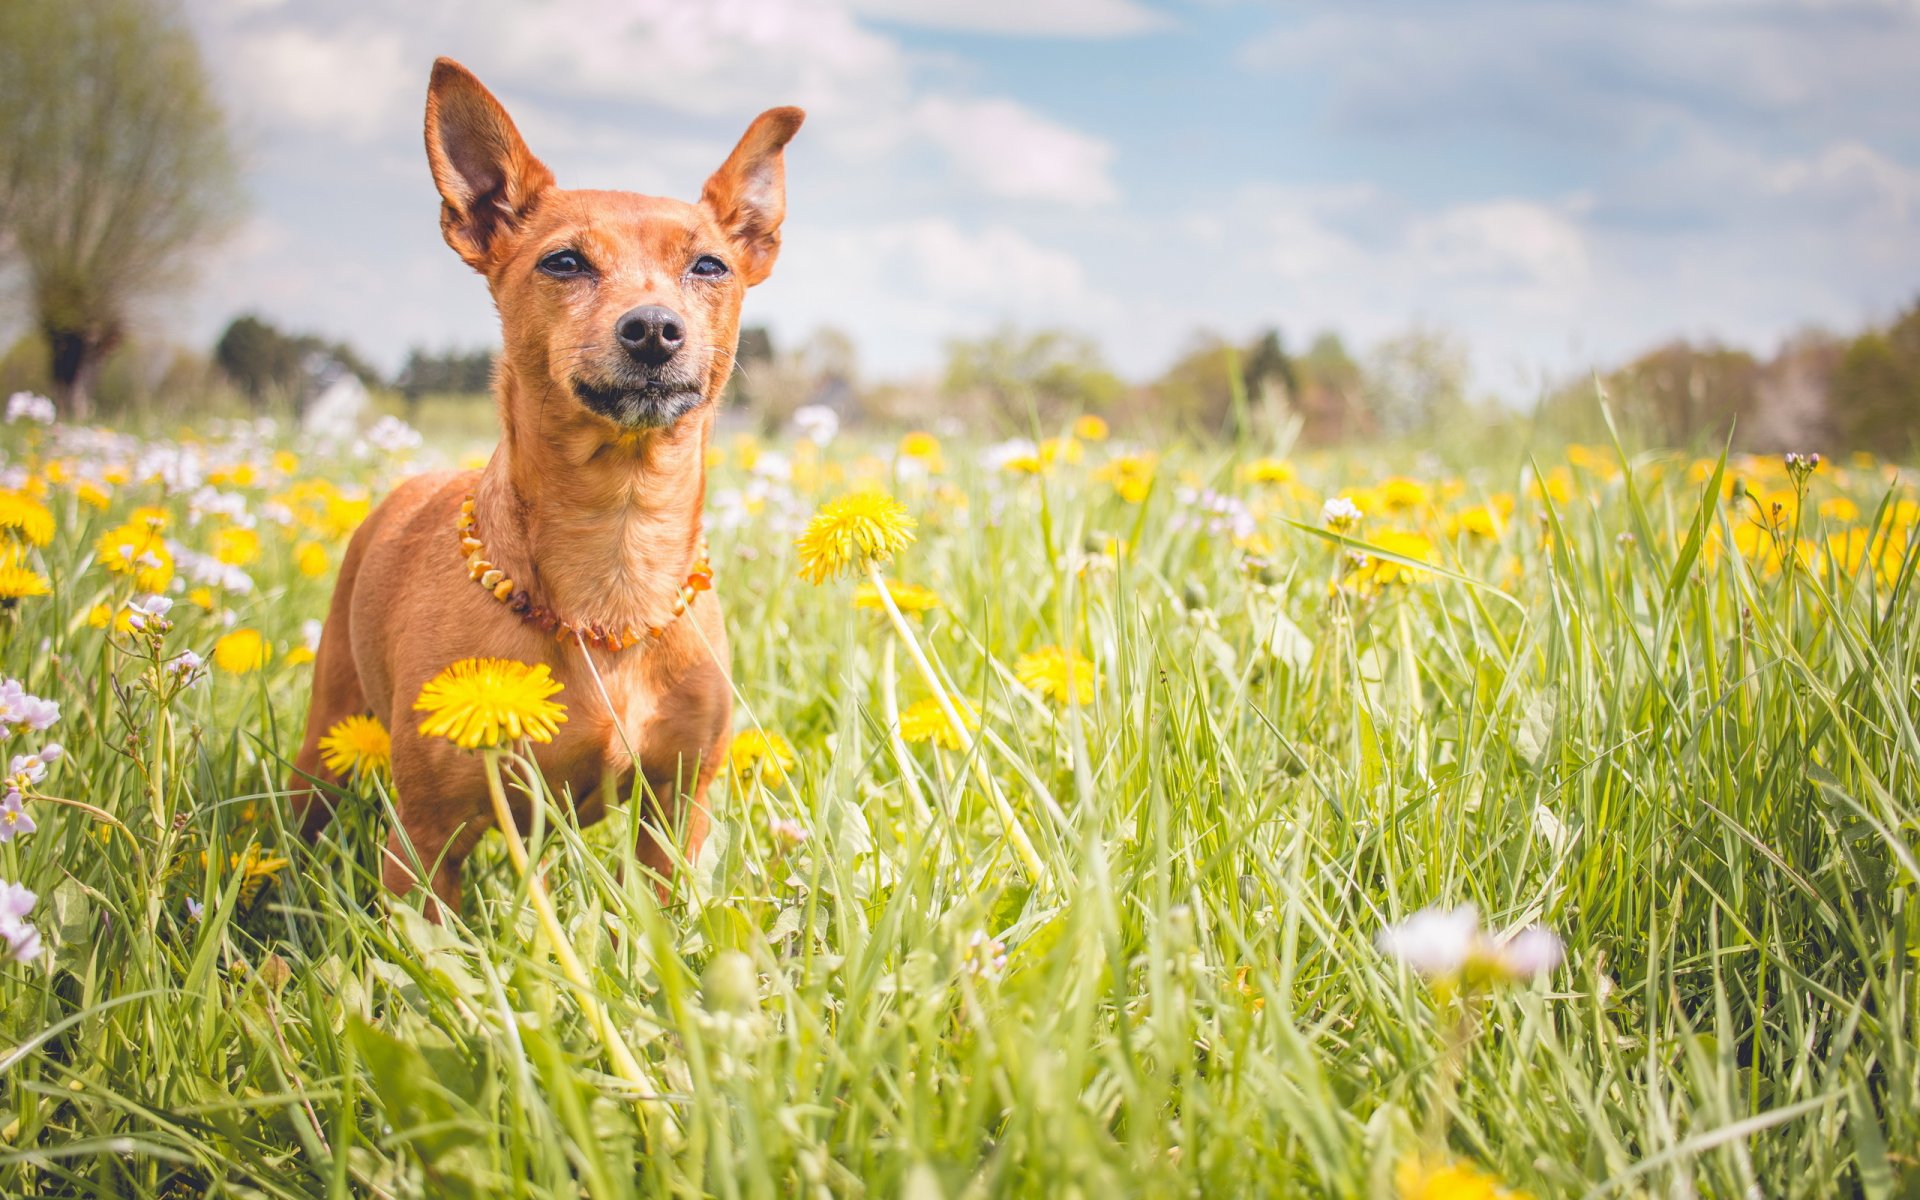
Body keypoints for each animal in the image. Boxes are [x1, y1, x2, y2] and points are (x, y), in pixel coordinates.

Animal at [288, 58, 798, 917]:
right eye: (563, 262)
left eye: (709, 266)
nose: (654, 328)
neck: (619, 549)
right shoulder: (425, 842)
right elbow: (431, 949)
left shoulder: (675, 813)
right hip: (327, 738)